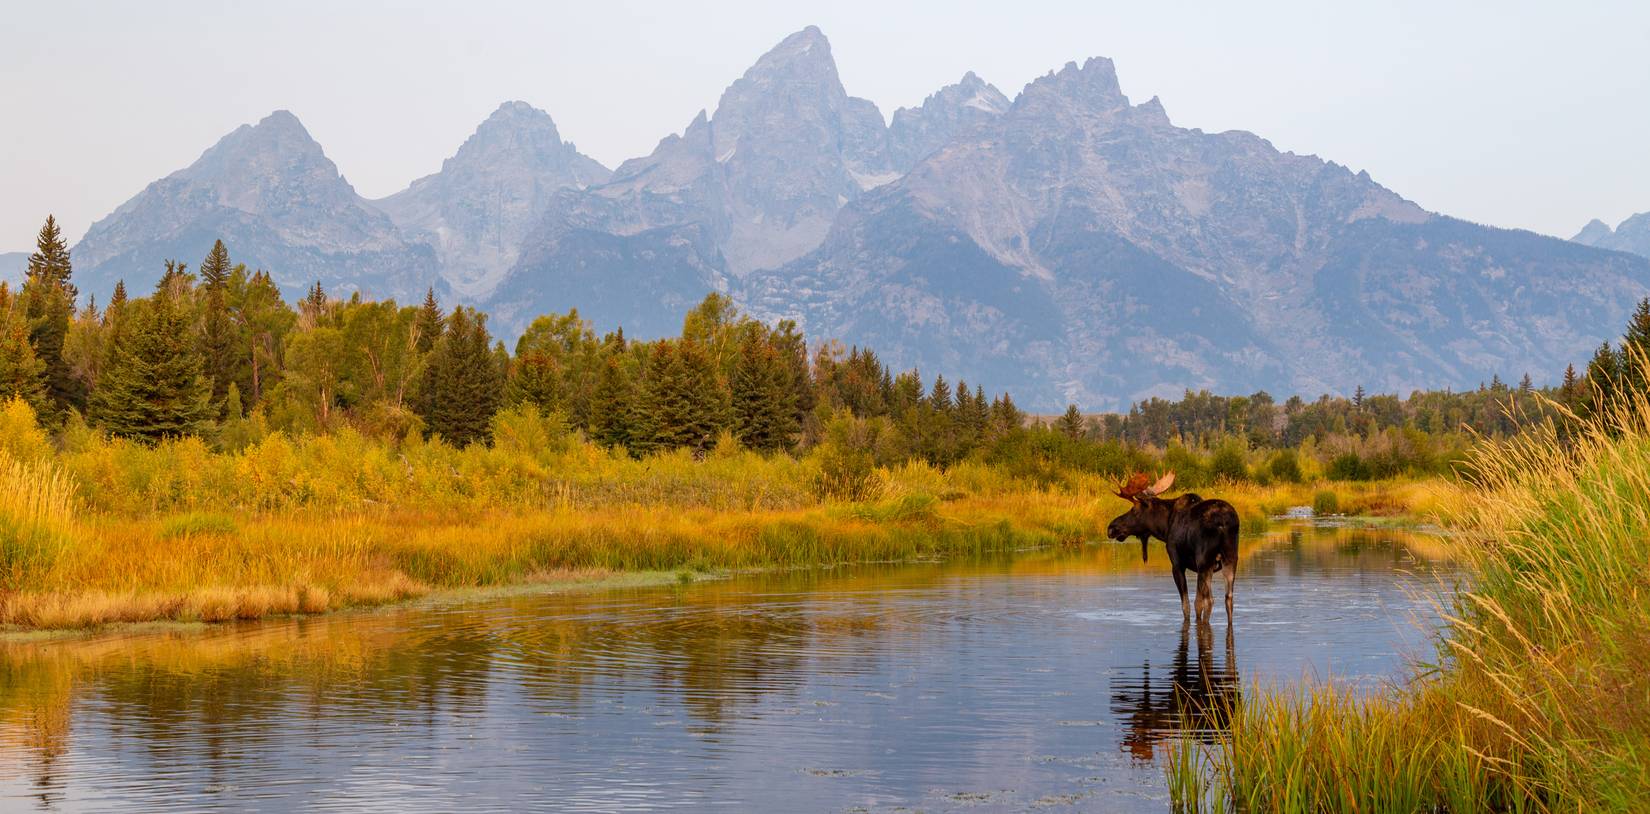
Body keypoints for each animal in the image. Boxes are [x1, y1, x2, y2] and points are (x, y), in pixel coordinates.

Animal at [1106, 472, 1240, 623]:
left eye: (1133, 510)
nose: (1111, 527)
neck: (1164, 527)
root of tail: (1224, 522)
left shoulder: (1177, 564)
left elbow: (1186, 606)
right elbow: (1196, 602)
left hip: (1204, 561)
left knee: (1207, 601)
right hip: (1230, 559)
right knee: (1228, 599)